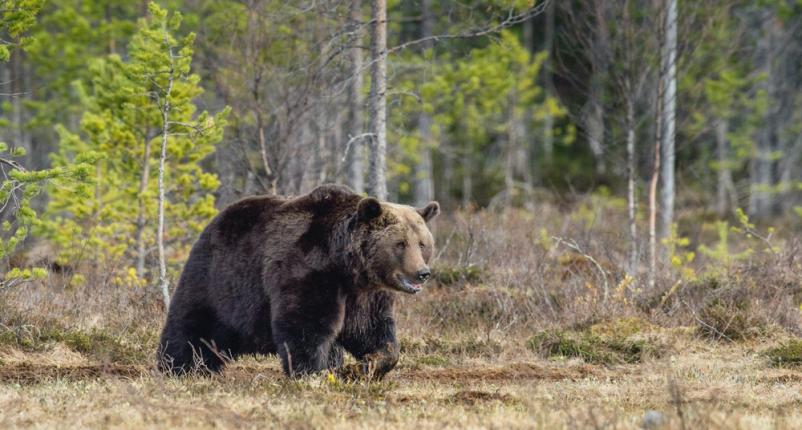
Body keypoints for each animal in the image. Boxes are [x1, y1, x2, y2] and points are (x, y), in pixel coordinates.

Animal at [156, 184, 440, 379]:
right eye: (400, 244)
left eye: (422, 243)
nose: (422, 272)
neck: (347, 267)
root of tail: (215, 220)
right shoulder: (308, 269)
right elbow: (305, 324)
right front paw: (313, 373)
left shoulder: (366, 295)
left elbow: (372, 331)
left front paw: (361, 367)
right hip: (219, 280)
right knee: (192, 325)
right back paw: (178, 366)